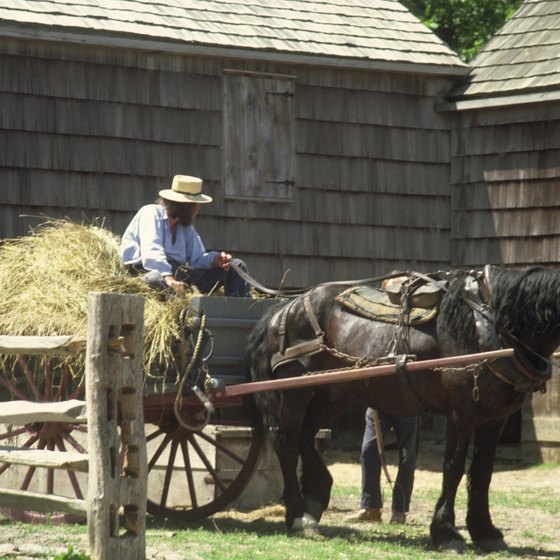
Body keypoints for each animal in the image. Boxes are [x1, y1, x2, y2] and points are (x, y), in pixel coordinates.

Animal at [246, 266, 560, 552]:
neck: (488, 325)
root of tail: (286, 307)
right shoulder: (462, 412)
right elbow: (454, 468)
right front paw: (446, 532)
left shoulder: (494, 418)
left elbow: (483, 472)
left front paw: (485, 531)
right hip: (296, 391)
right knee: (287, 443)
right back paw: (298, 516)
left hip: (333, 392)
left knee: (305, 435)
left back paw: (314, 499)